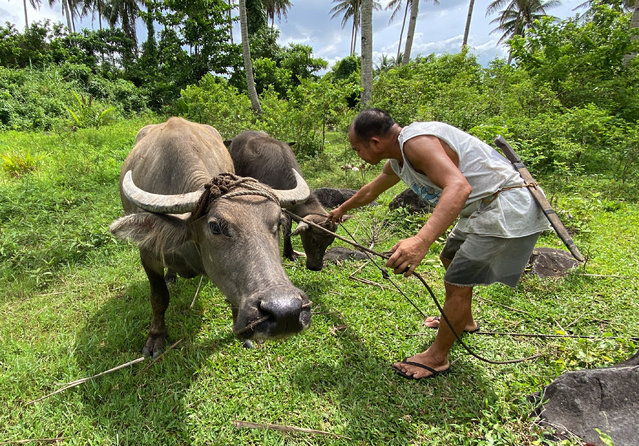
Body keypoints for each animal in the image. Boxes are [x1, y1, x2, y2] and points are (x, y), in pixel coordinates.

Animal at [110, 116, 316, 358]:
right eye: (215, 226)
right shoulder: (148, 255)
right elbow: (159, 298)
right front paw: (155, 339)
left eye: (278, 222)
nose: (286, 311)